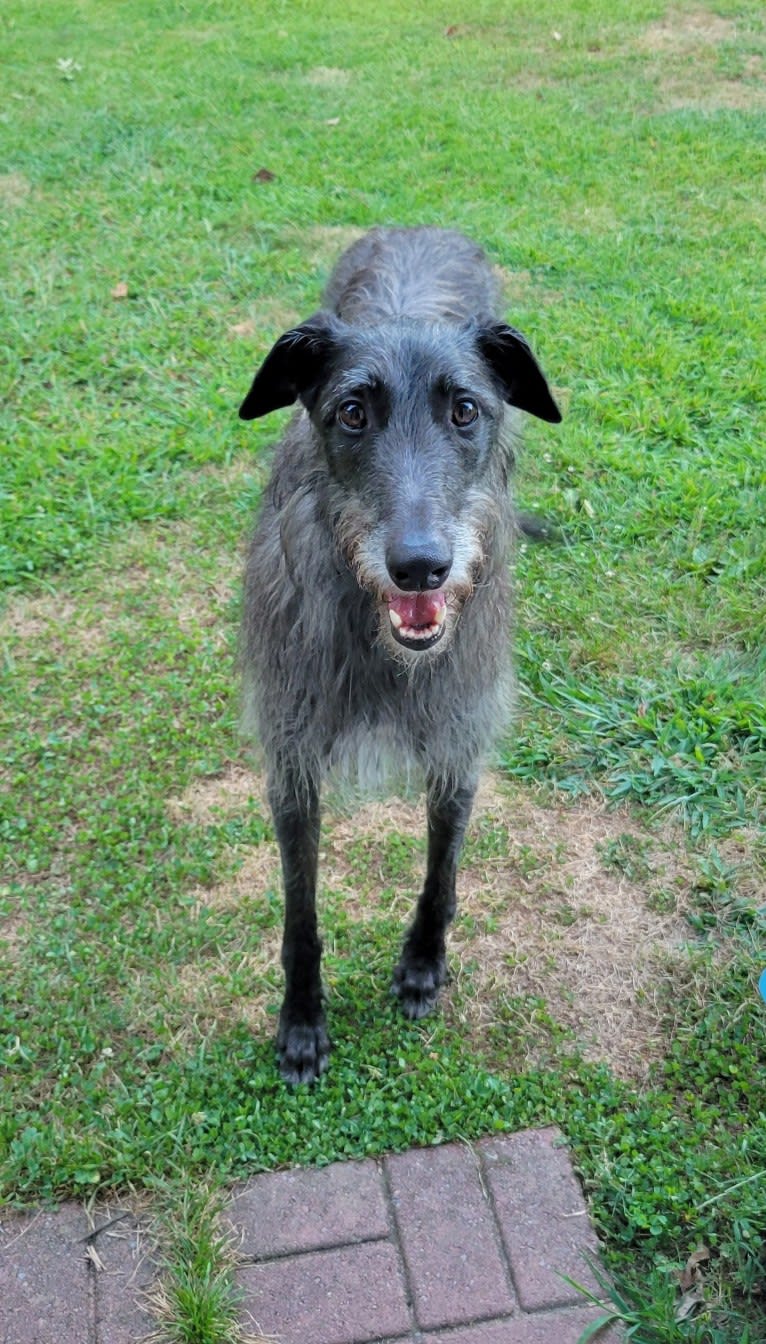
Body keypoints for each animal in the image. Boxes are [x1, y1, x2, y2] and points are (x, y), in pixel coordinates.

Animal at [239, 223, 561, 1080]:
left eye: (465, 409)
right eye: (351, 411)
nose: (420, 566)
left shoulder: (459, 732)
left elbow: (442, 869)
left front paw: (422, 964)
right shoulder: (291, 755)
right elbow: (300, 908)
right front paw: (303, 1020)